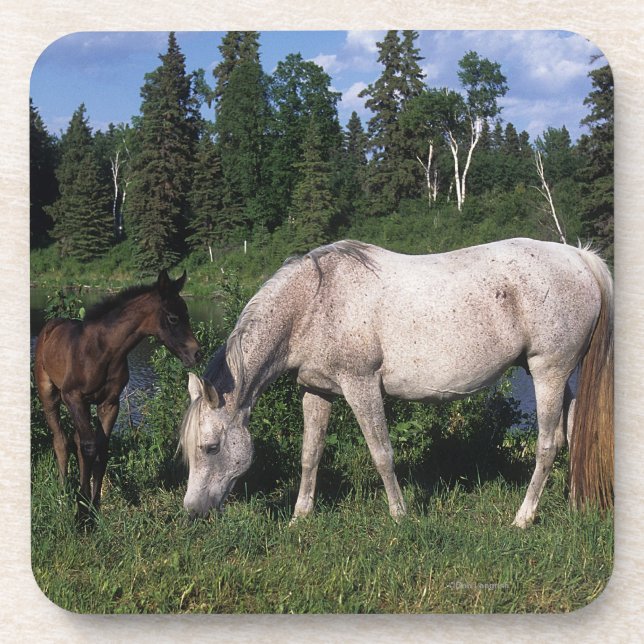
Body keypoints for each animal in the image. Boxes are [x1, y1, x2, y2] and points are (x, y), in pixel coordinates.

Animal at [34, 270, 201, 520]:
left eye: (187, 314)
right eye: (173, 318)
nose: (196, 353)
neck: (103, 351)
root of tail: (51, 326)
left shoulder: (110, 403)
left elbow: (101, 449)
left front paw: (95, 504)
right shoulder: (73, 397)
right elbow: (89, 447)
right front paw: (82, 511)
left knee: (76, 439)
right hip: (50, 395)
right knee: (61, 440)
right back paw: (63, 490)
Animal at [179, 238, 613, 528]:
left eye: (211, 447)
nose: (193, 510)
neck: (313, 301)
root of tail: (579, 257)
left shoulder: (361, 385)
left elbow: (382, 454)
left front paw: (400, 515)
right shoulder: (316, 391)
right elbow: (310, 454)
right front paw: (300, 516)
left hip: (549, 372)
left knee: (547, 444)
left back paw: (524, 517)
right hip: (555, 375)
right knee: (571, 432)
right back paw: (573, 503)